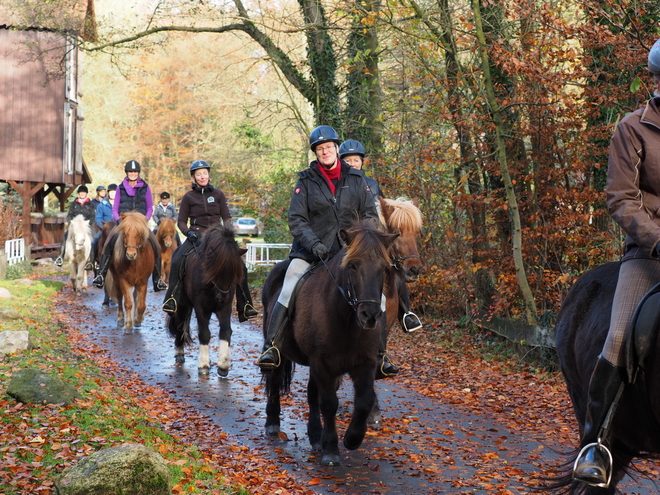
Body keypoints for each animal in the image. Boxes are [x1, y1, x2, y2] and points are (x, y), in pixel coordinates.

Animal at [166, 223, 246, 378]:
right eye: (217, 270)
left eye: (234, 272)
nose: (222, 298)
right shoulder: (201, 307)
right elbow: (204, 333)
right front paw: (203, 365)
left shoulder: (224, 308)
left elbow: (225, 331)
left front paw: (223, 364)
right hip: (182, 304)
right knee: (180, 324)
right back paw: (179, 352)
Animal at [262, 220, 398, 464]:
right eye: (352, 266)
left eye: (384, 268)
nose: (370, 315)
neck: (347, 321)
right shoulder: (322, 363)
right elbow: (328, 403)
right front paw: (332, 450)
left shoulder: (365, 363)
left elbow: (363, 400)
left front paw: (352, 439)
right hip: (282, 354)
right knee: (276, 381)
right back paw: (273, 423)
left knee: (311, 394)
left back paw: (316, 436)